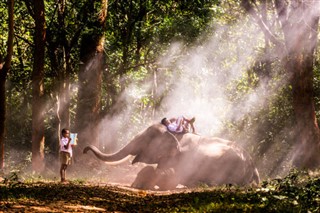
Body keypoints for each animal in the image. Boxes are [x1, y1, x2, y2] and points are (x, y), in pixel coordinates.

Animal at [83, 122, 260, 191]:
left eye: (146, 138)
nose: (84, 150)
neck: (175, 133)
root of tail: (253, 165)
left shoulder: (182, 159)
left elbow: (169, 178)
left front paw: (140, 185)